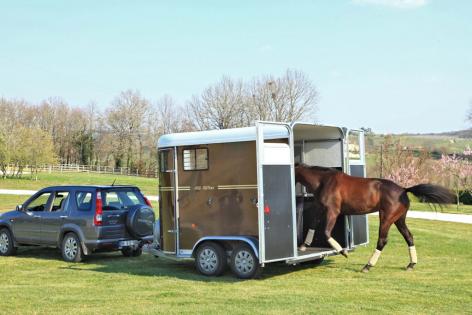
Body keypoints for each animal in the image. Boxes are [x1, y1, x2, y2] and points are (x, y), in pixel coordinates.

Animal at [296, 164, 454, 272]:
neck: (324, 180)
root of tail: (403, 190)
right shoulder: (320, 209)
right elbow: (312, 225)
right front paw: (303, 246)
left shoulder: (333, 212)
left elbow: (326, 233)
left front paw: (344, 252)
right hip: (399, 220)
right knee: (409, 237)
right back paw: (411, 264)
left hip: (386, 218)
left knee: (382, 240)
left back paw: (368, 265)